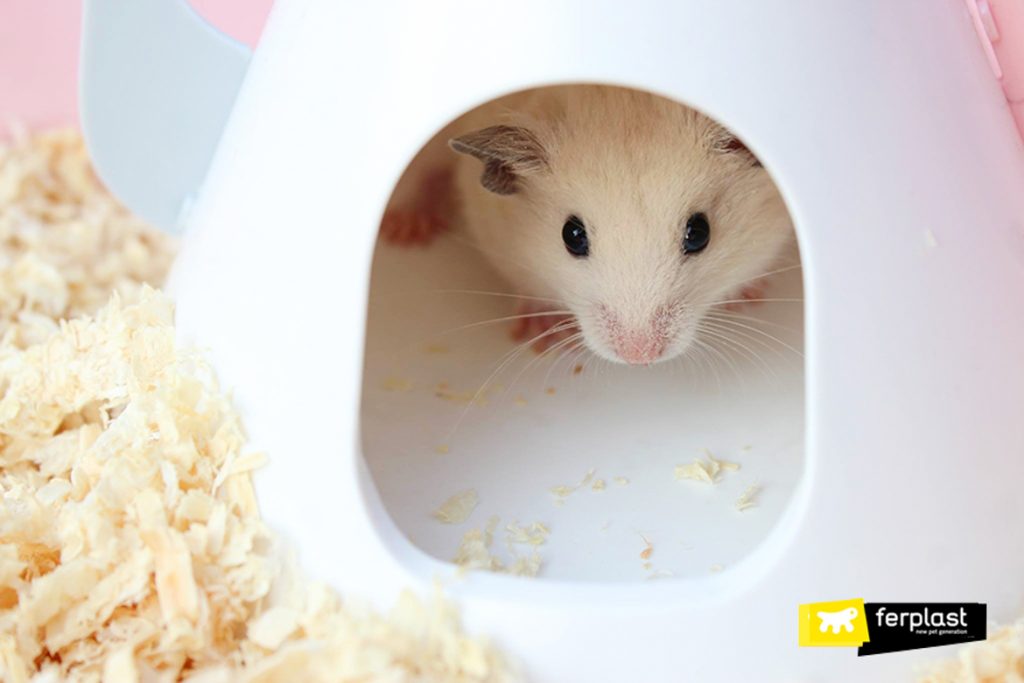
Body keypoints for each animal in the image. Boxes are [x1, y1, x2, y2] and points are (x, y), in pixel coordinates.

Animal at [382, 85, 795, 366]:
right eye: (572, 236)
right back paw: (404, 232)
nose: (639, 358)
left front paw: (747, 298)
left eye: (699, 234)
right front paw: (542, 337)